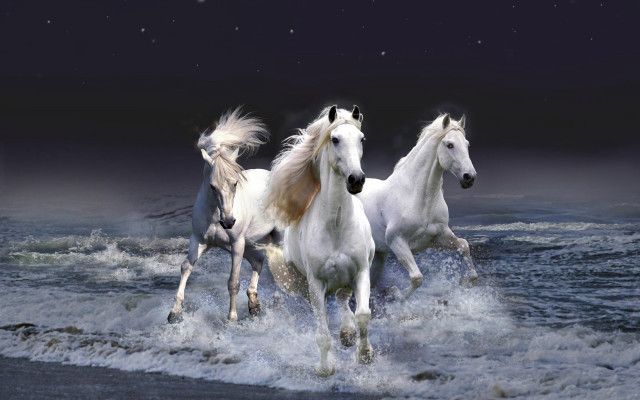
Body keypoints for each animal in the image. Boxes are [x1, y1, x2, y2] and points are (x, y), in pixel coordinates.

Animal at [168, 107, 283, 323]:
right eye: (212, 186)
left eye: (235, 183)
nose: (229, 222)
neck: (215, 216)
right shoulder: (199, 240)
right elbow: (186, 267)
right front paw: (174, 313)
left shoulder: (236, 244)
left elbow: (233, 282)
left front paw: (232, 319)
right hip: (251, 243)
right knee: (258, 262)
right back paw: (254, 305)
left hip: (275, 238)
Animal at [264, 105, 375, 377]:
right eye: (334, 139)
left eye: (361, 139)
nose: (356, 179)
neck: (336, 225)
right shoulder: (315, 284)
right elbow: (323, 333)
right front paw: (326, 368)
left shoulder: (361, 271)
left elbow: (363, 314)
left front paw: (365, 355)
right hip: (305, 285)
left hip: (347, 278)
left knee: (343, 299)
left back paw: (347, 334)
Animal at [356, 113, 477, 300]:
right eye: (450, 145)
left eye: (467, 144)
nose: (469, 177)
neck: (418, 198)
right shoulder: (397, 242)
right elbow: (417, 277)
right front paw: (395, 293)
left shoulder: (437, 238)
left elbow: (464, 245)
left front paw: (465, 281)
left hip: (379, 257)